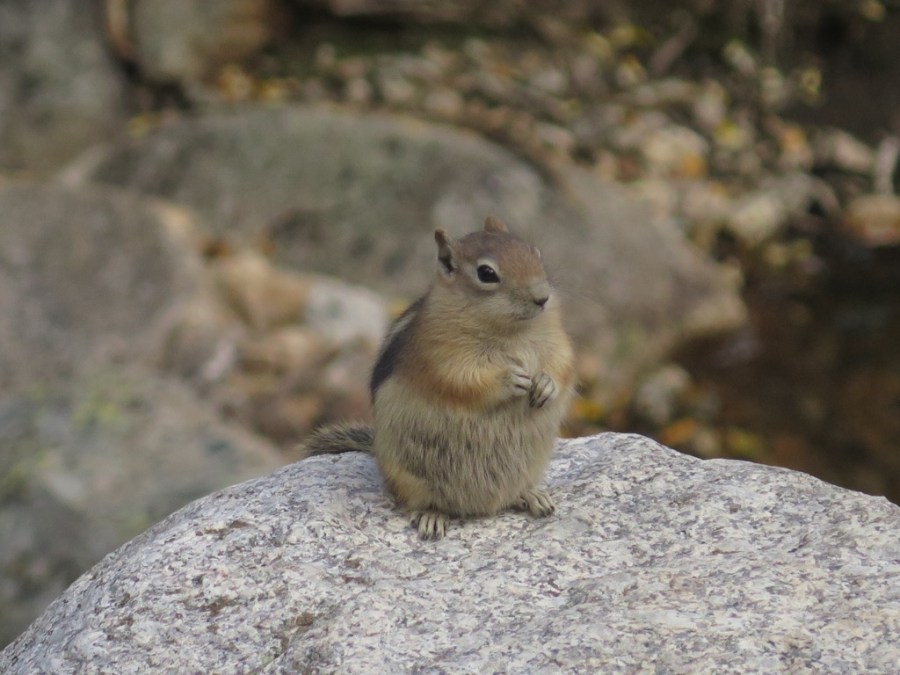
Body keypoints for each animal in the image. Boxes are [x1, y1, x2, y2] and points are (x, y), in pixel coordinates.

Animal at [302, 216, 575, 540]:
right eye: (486, 273)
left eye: (536, 253)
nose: (542, 298)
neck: (512, 332)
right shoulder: (440, 356)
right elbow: (462, 380)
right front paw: (510, 380)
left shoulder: (557, 341)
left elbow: (563, 364)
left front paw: (546, 385)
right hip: (409, 476)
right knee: (419, 502)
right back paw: (432, 517)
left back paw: (531, 495)